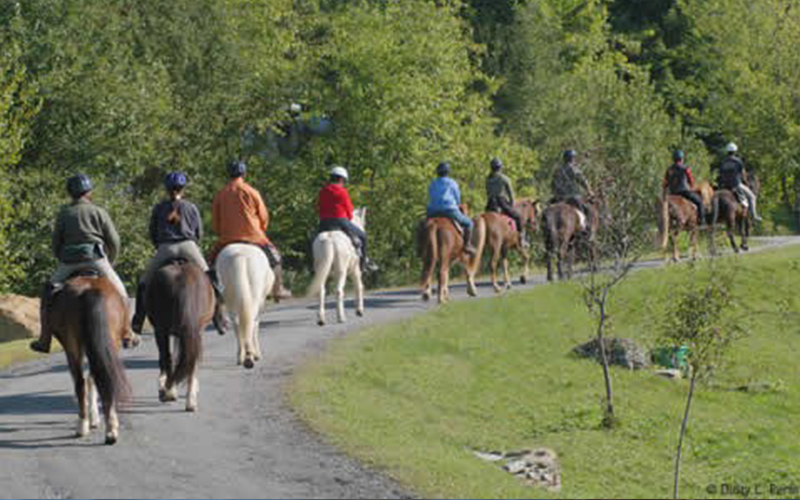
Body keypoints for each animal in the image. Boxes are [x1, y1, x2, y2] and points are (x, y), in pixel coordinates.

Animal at [47, 274, 131, 446]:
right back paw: (108, 429)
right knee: (98, 378)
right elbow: (93, 378)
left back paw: (85, 426)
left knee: (81, 382)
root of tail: (90, 290)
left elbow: (90, 379)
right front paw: (95, 419)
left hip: (73, 345)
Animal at [144, 260, 212, 412]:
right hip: (191, 332)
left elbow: (172, 358)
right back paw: (188, 400)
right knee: (188, 361)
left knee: (169, 358)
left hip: (163, 330)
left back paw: (171, 393)